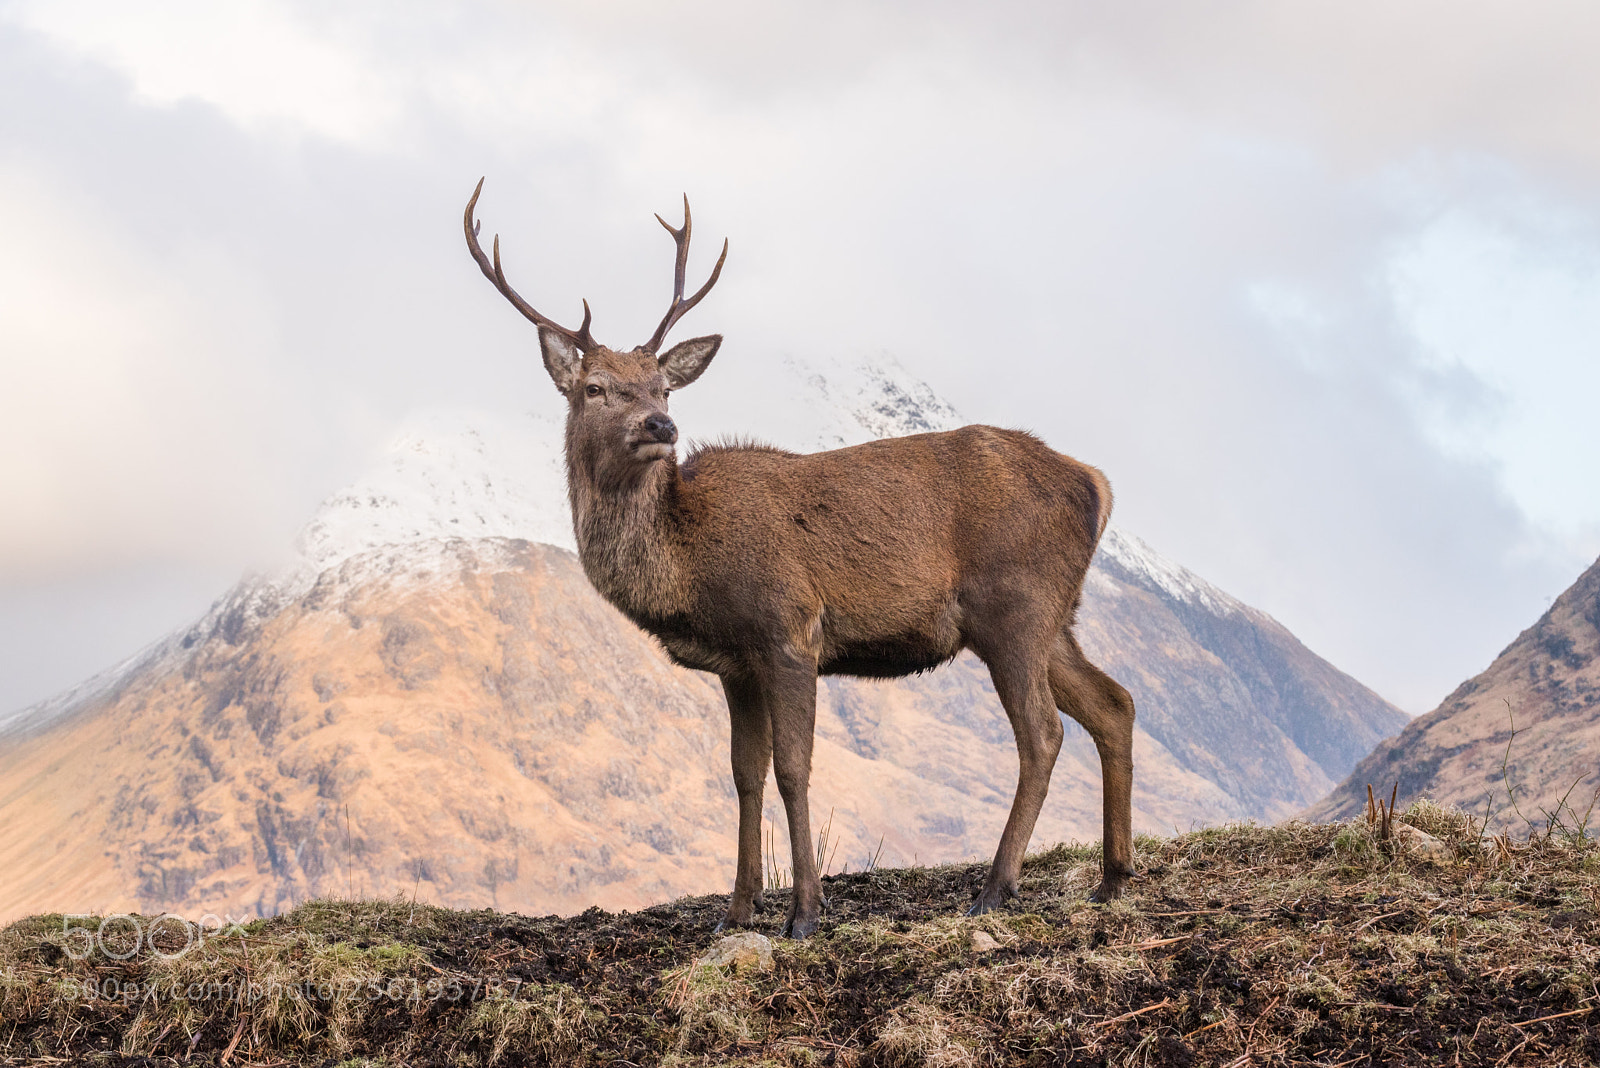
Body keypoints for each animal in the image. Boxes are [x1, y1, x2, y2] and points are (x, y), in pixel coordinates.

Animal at [463, 179, 1137, 938]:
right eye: (594, 387)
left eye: (663, 386)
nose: (662, 426)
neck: (687, 568)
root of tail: (1096, 484)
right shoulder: (735, 664)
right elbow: (743, 774)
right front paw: (736, 909)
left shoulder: (789, 629)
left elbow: (793, 768)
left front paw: (806, 910)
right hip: (1055, 616)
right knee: (1114, 704)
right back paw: (1112, 878)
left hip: (1014, 605)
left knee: (1043, 734)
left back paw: (995, 887)